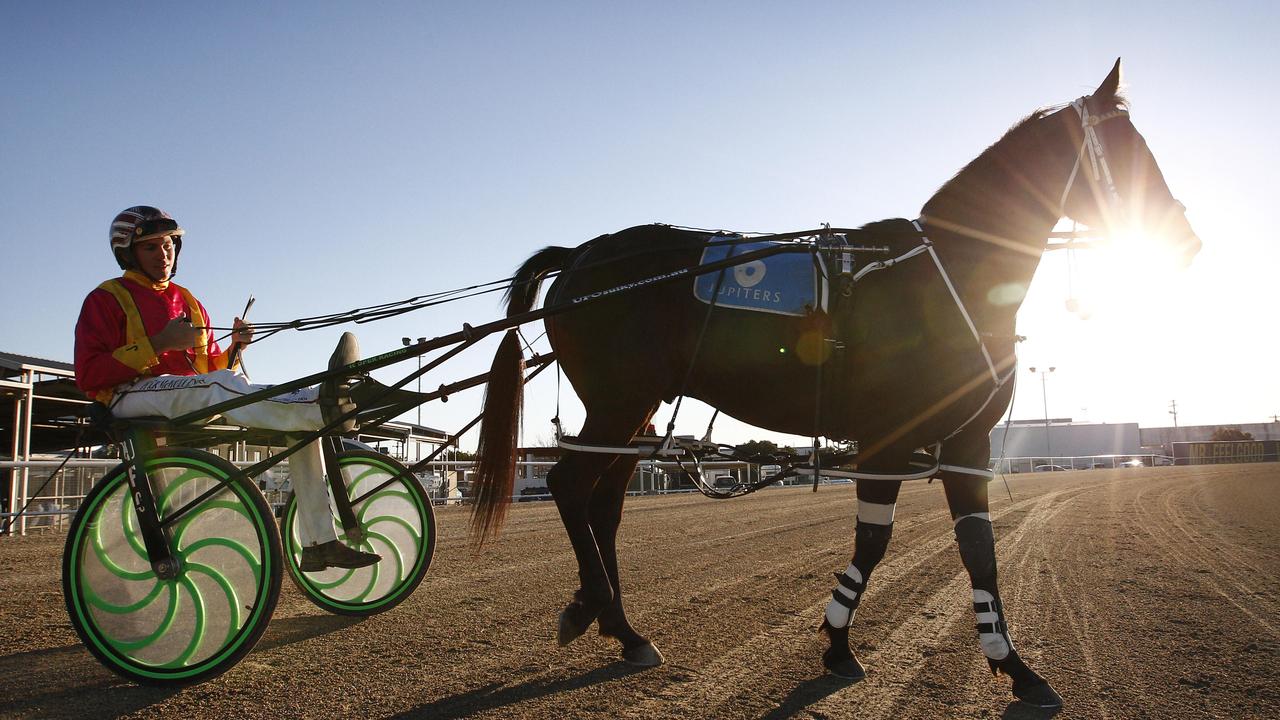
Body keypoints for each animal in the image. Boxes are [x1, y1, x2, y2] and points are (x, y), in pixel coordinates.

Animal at [468, 58, 1198, 702]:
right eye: (1128, 149)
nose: (1184, 238)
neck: (941, 275)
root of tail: (583, 254)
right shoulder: (886, 439)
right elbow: (873, 543)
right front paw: (839, 643)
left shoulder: (967, 446)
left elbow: (979, 551)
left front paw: (1015, 667)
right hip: (618, 402)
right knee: (569, 487)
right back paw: (602, 612)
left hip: (634, 411)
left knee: (602, 505)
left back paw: (616, 624)